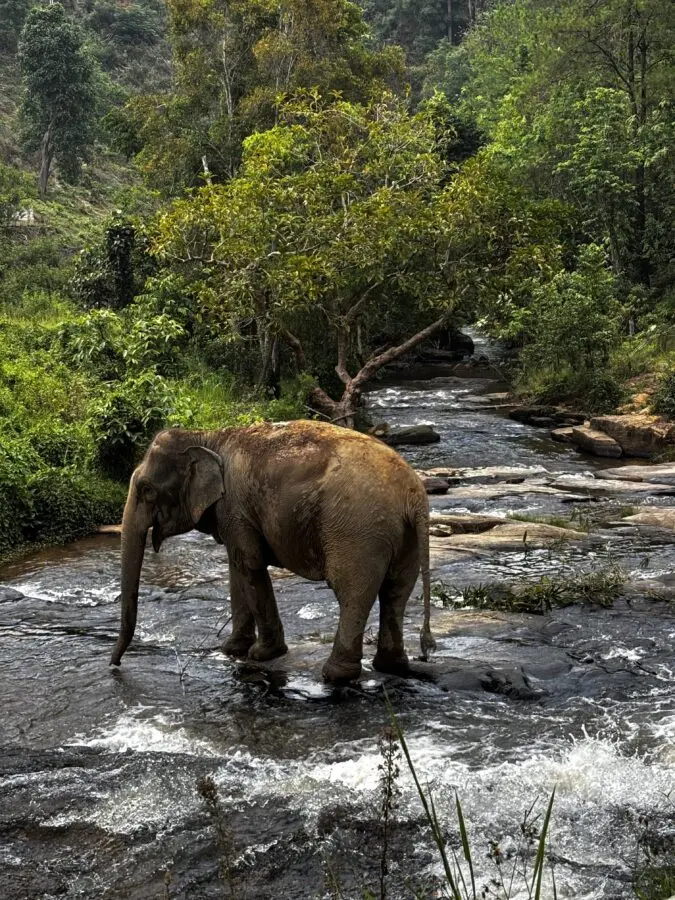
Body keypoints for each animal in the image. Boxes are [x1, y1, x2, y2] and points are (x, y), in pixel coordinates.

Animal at [110, 420, 436, 683]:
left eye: (147, 490)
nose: (115, 666)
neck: (208, 436)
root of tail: (413, 496)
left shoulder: (234, 506)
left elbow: (249, 565)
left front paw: (261, 655)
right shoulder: (233, 513)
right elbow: (236, 568)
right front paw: (231, 649)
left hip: (357, 531)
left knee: (353, 593)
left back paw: (335, 675)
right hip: (404, 537)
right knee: (396, 591)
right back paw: (390, 666)